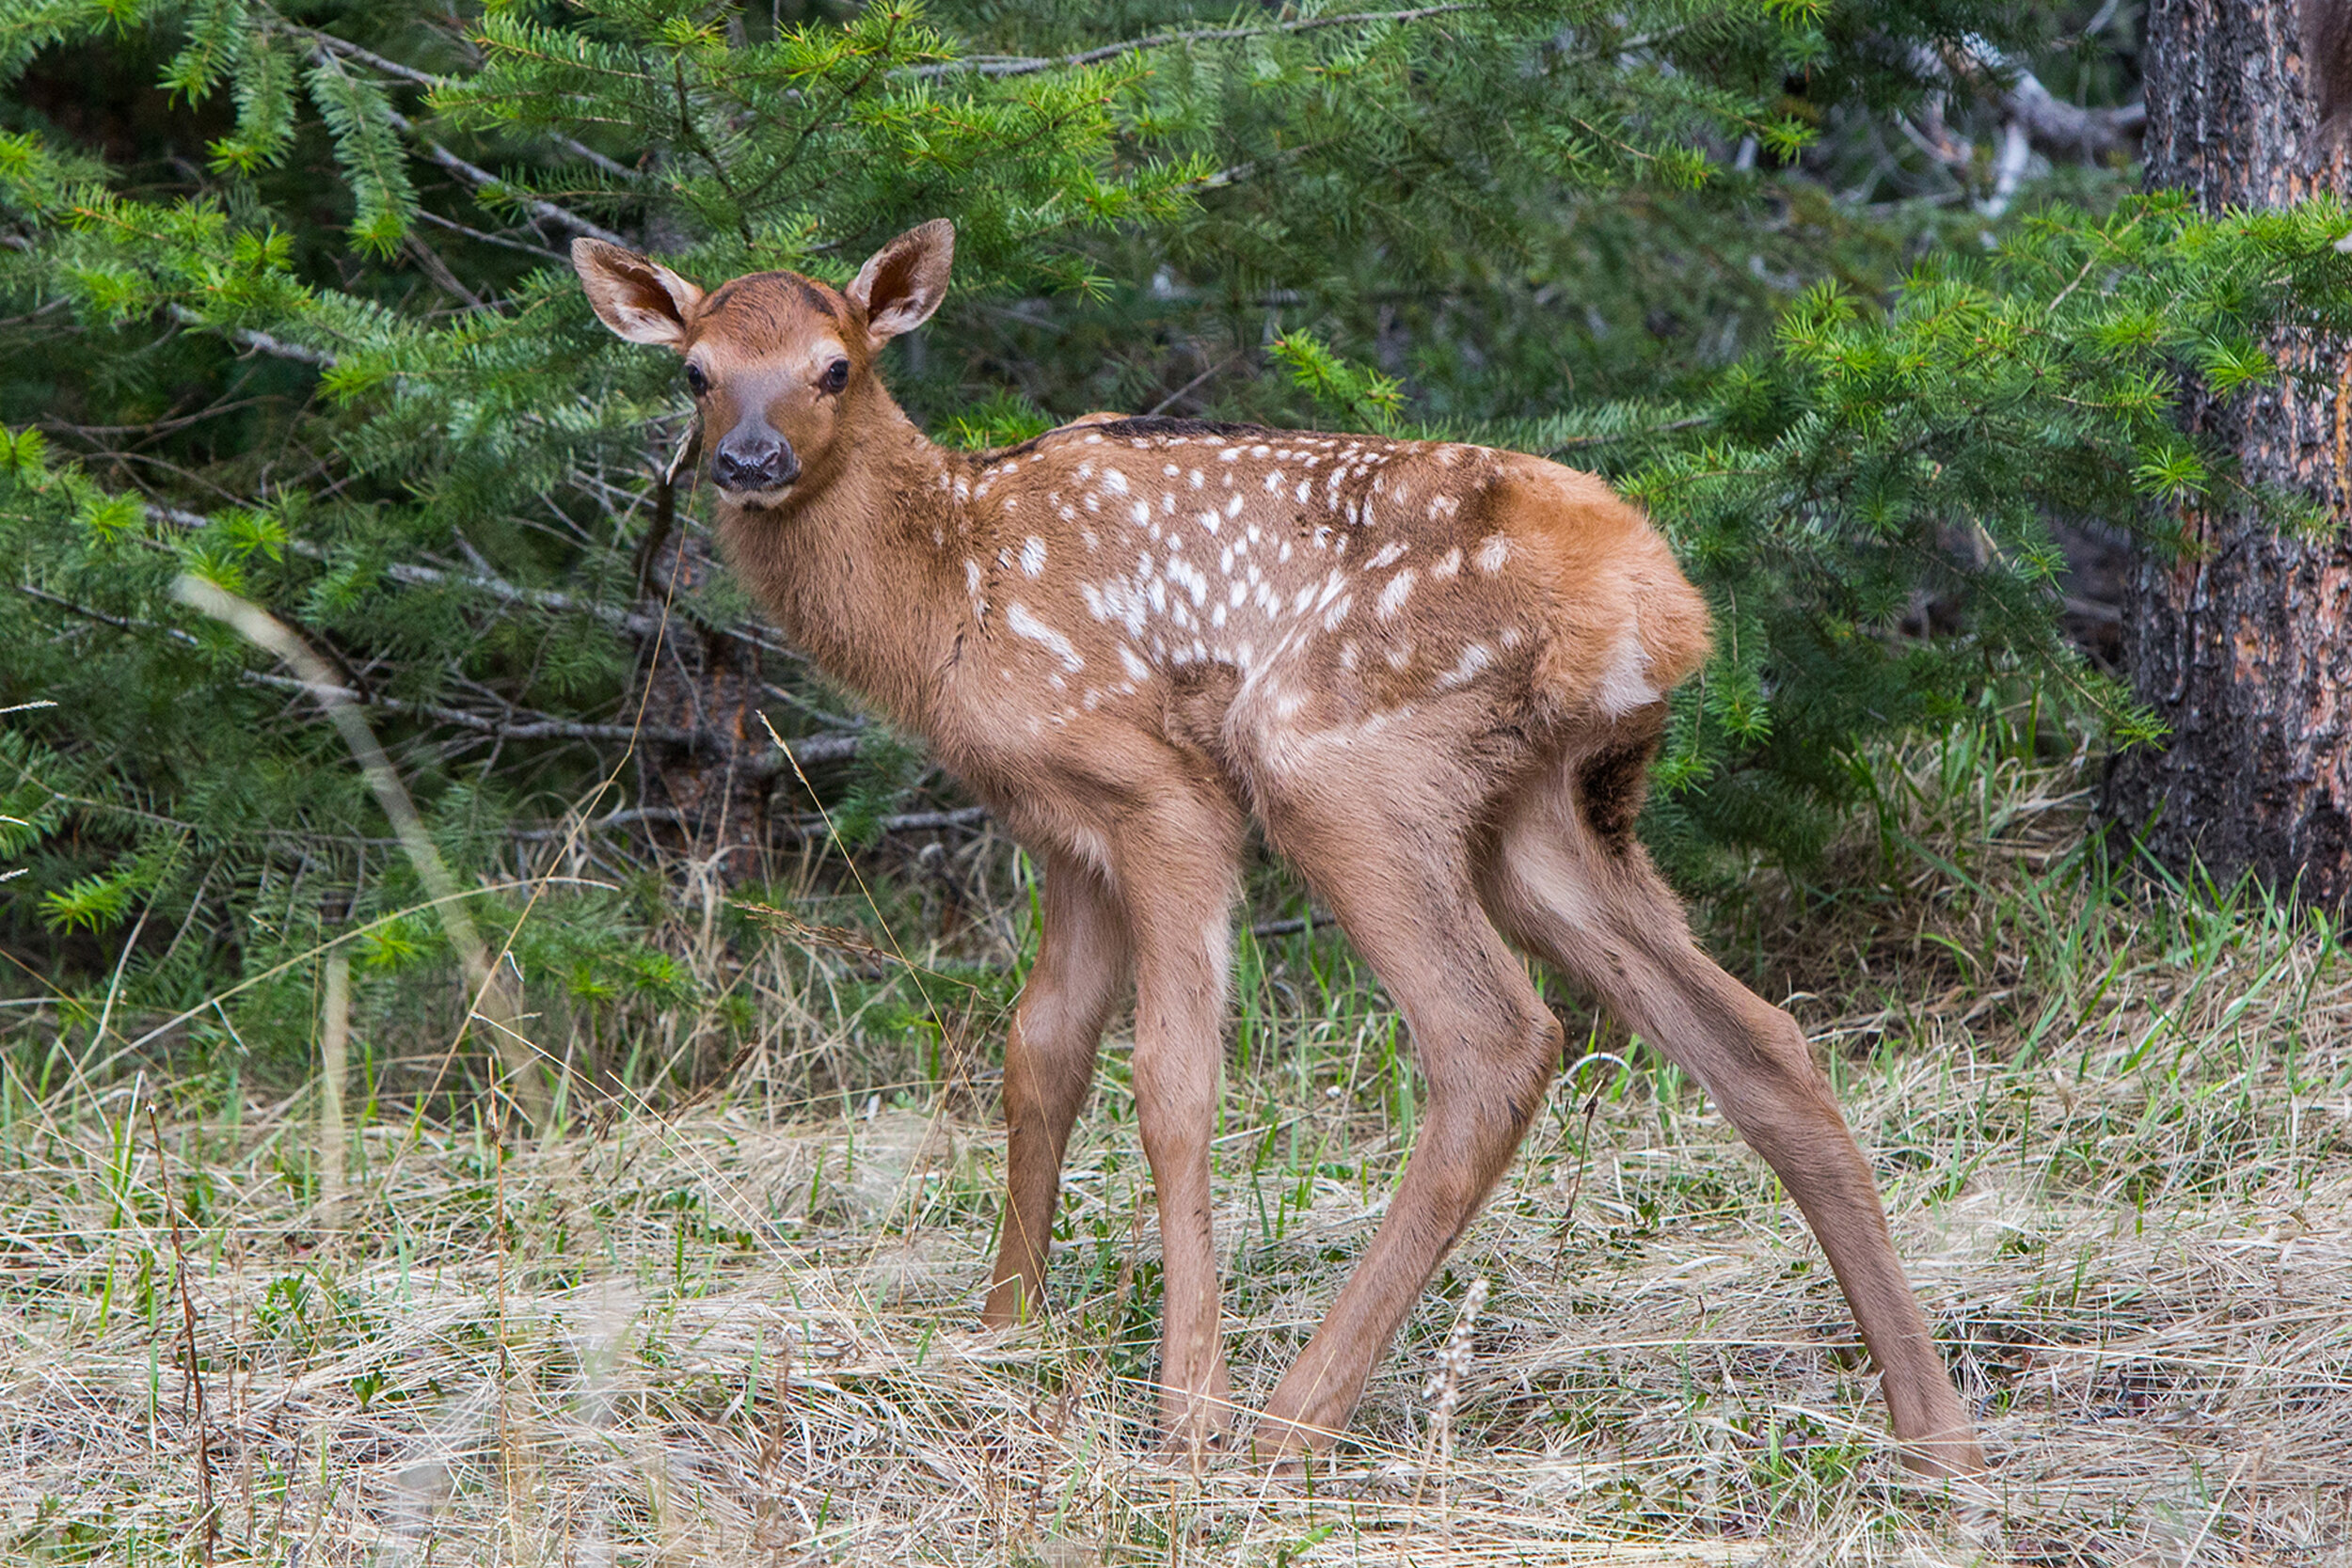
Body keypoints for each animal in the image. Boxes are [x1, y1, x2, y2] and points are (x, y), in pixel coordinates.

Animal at [574, 223, 1985, 1485]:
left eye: (836, 366)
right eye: (695, 369)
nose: (747, 457)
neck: (948, 594)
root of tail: (1666, 605)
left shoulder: (1164, 789)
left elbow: (1173, 1079)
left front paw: (1182, 1404)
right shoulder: (1060, 824)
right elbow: (1041, 1054)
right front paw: (1001, 1334)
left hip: (1333, 757)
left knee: (1496, 1036)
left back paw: (1286, 1423)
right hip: (1545, 813)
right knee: (1761, 1039)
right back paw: (1938, 1436)